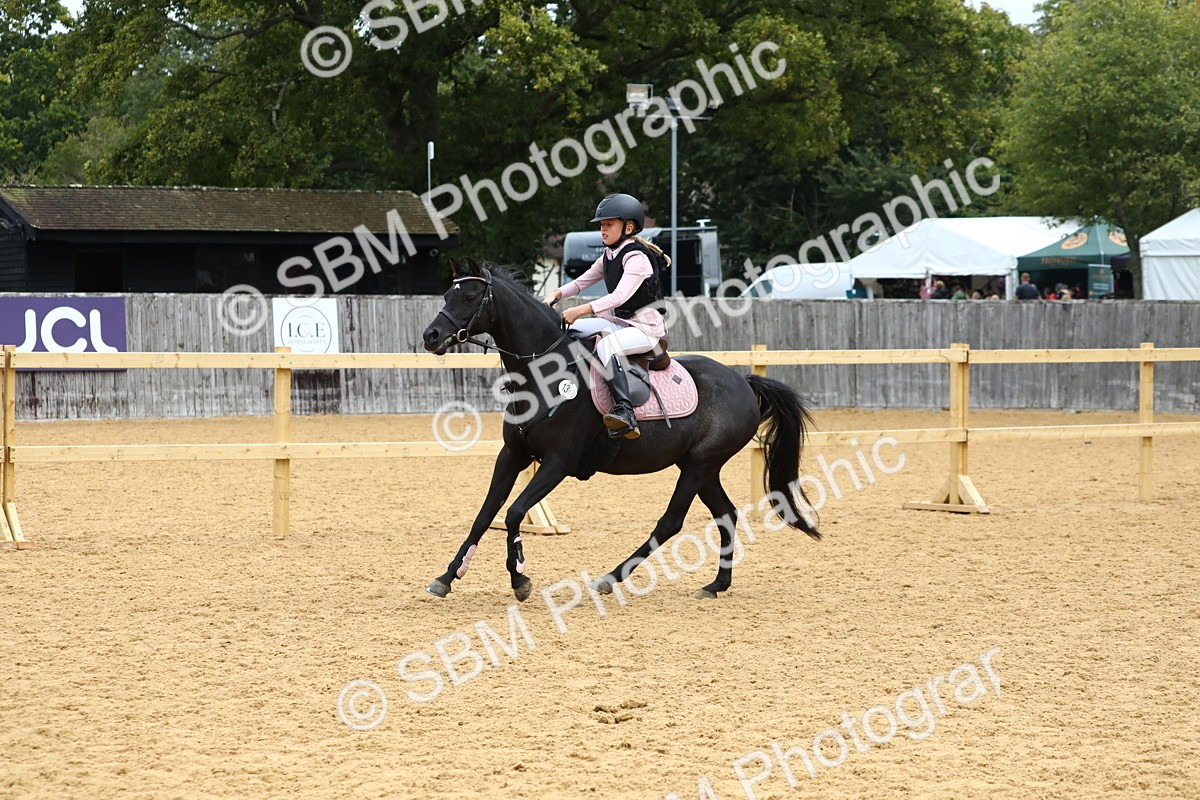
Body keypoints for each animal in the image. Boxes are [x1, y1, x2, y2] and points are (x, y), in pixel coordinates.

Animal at [420, 258, 820, 601]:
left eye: (470, 297)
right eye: (448, 294)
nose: (431, 335)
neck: (546, 373)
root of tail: (743, 382)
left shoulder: (558, 463)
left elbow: (514, 513)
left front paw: (519, 577)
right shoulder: (513, 454)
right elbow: (485, 514)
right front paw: (447, 576)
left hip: (700, 465)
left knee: (670, 522)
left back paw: (611, 578)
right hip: (701, 466)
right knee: (726, 514)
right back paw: (716, 584)